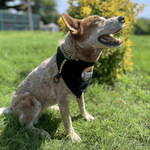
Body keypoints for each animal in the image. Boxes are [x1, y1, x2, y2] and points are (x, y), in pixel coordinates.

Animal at [0, 13, 124, 142]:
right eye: (97, 20)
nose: (122, 18)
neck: (75, 61)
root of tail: (11, 107)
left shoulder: (79, 89)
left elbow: (82, 105)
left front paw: (85, 116)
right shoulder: (63, 98)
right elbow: (67, 120)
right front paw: (72, 136)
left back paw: (54, 108)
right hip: (32, 100)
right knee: (25, 123)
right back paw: (41, 133)